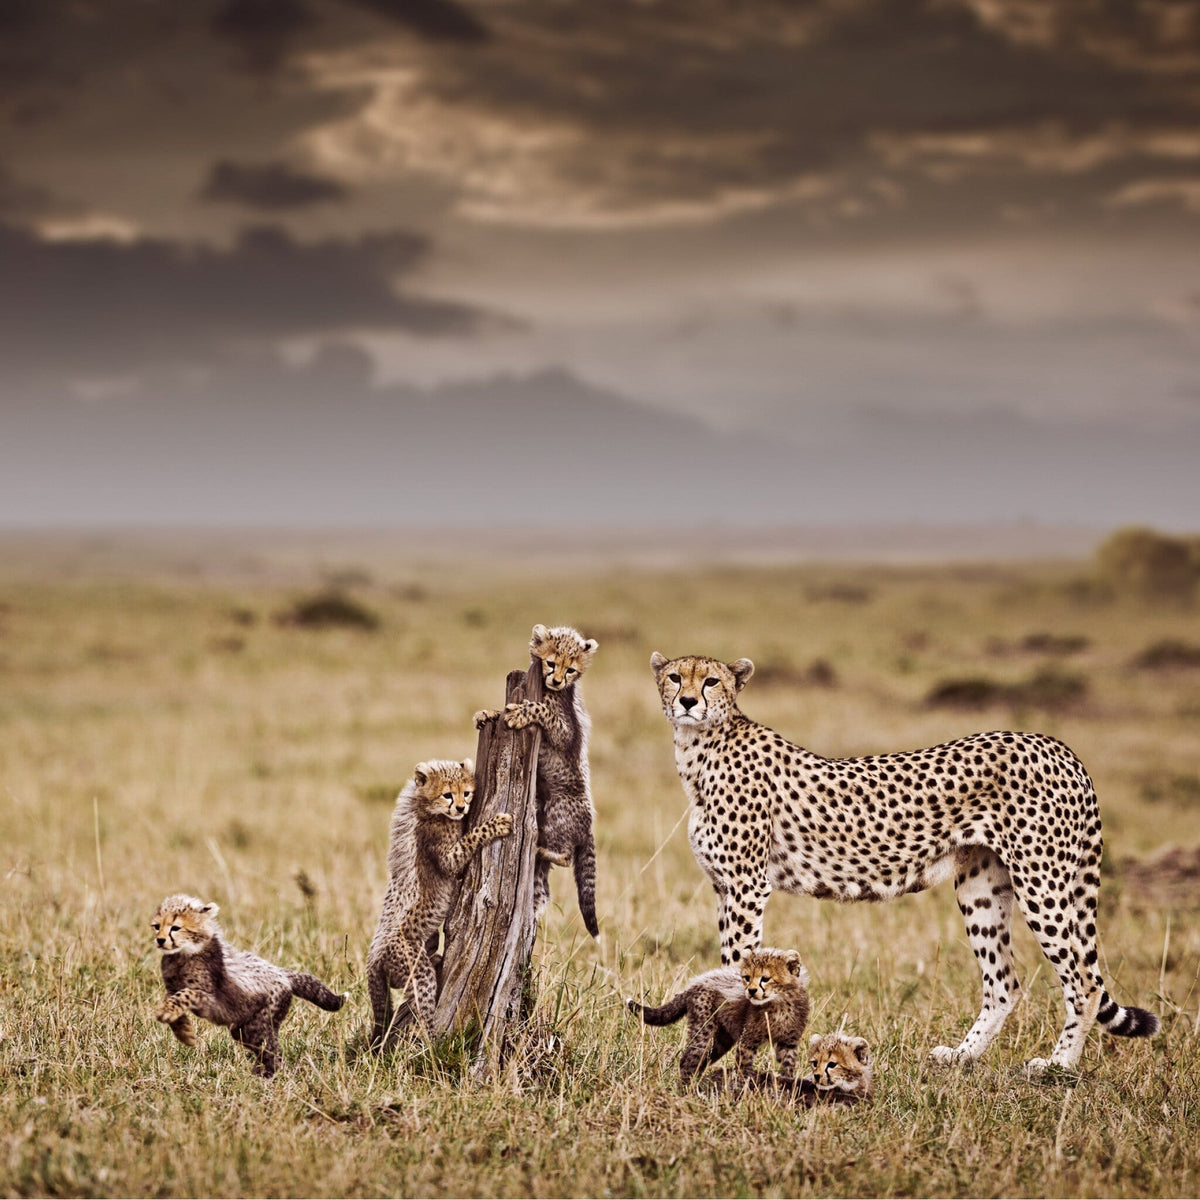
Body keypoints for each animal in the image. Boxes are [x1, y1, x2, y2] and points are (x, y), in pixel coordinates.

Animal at [152, 894, 344, 1078]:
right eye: (156, 926)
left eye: (175, 927)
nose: (160, 940)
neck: (183, 954)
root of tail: (281, 973)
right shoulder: (172, 989)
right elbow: (172, 1000)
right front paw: (184, 1032)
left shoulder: (209, 997)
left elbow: (186, 994)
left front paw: (170, 1015)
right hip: (243, 1028)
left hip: (257, 1025)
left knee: (272, 1049)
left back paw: (268, 1075)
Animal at [366, 759, 512, 1046]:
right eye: (447, 794)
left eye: (466, 792)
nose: (461, 808)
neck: (425, 807)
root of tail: (373, 957)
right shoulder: (446, 855)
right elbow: (470, 839)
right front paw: (498, 823)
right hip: (414, 968)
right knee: (420, 1001)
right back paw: (431, 1040)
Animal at [475, 624, 599, 936]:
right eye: (552, 663)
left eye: (571, 670)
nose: (556, 681)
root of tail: (589, 823)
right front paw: (488, 713)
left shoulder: (566, 729)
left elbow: (544, 711)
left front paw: (522, 713)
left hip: (557, 812)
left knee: (566, 856)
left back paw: (541, 848)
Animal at [628, 947, 809, 1084]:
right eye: (747, 977)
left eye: (765, 978)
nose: (751, 991)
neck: (779, 1002)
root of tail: (698, 982)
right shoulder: (747, 1041)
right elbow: (743, 1067)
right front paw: (744, 1091)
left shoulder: (789, 1043)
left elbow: (787, 1067)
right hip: (704, 1031)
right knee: (688, 1060)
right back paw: (687, 1091)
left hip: (722, 1039)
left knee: (701, 1061)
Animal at [650, 651, 1161, 1076]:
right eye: (676, 677)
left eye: (711, 680)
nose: (689, 701)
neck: (700, 748)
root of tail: (1056, 745)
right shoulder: (724, 886)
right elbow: (728, 963)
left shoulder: (746, 885)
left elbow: (740, 962)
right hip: (982, 887)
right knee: (1004, 983)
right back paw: (961, 1056)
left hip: (1042, 883)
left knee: (1084, 983)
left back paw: (1058, 1066)